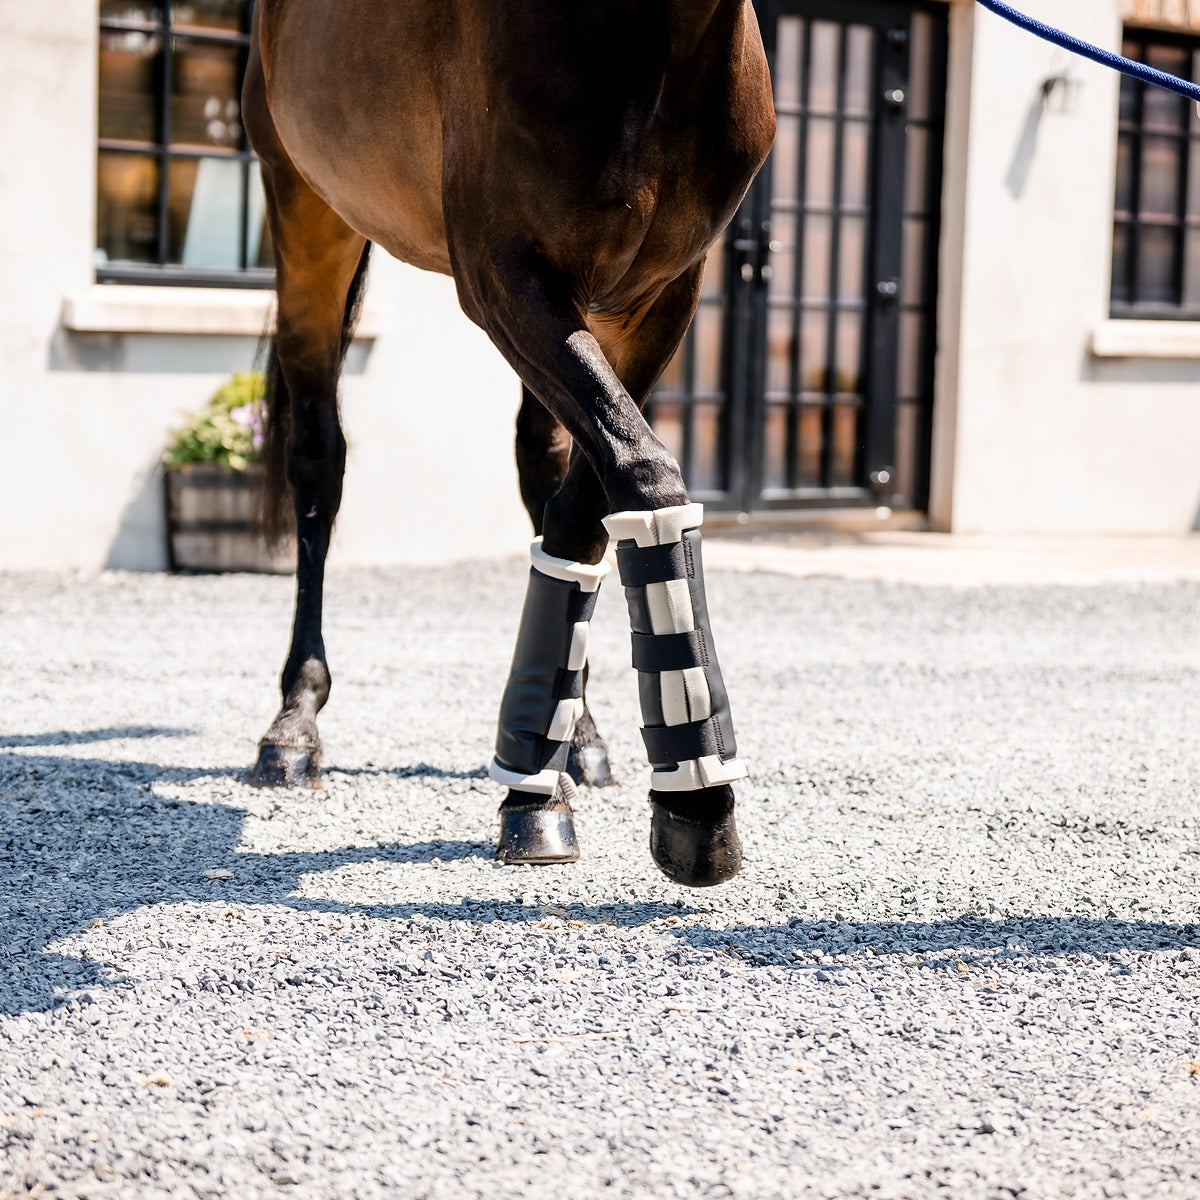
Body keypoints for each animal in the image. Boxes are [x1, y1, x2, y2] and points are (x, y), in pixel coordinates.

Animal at [242, 0, 776, 887]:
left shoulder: (660, 295)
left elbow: (588, 503)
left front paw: (542, 773)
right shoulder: (501, 273)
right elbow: (640, 471)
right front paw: (695, 802)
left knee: (544, 468)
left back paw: (579, 738)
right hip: (305, 209)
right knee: (318, 459)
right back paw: (293, 726)